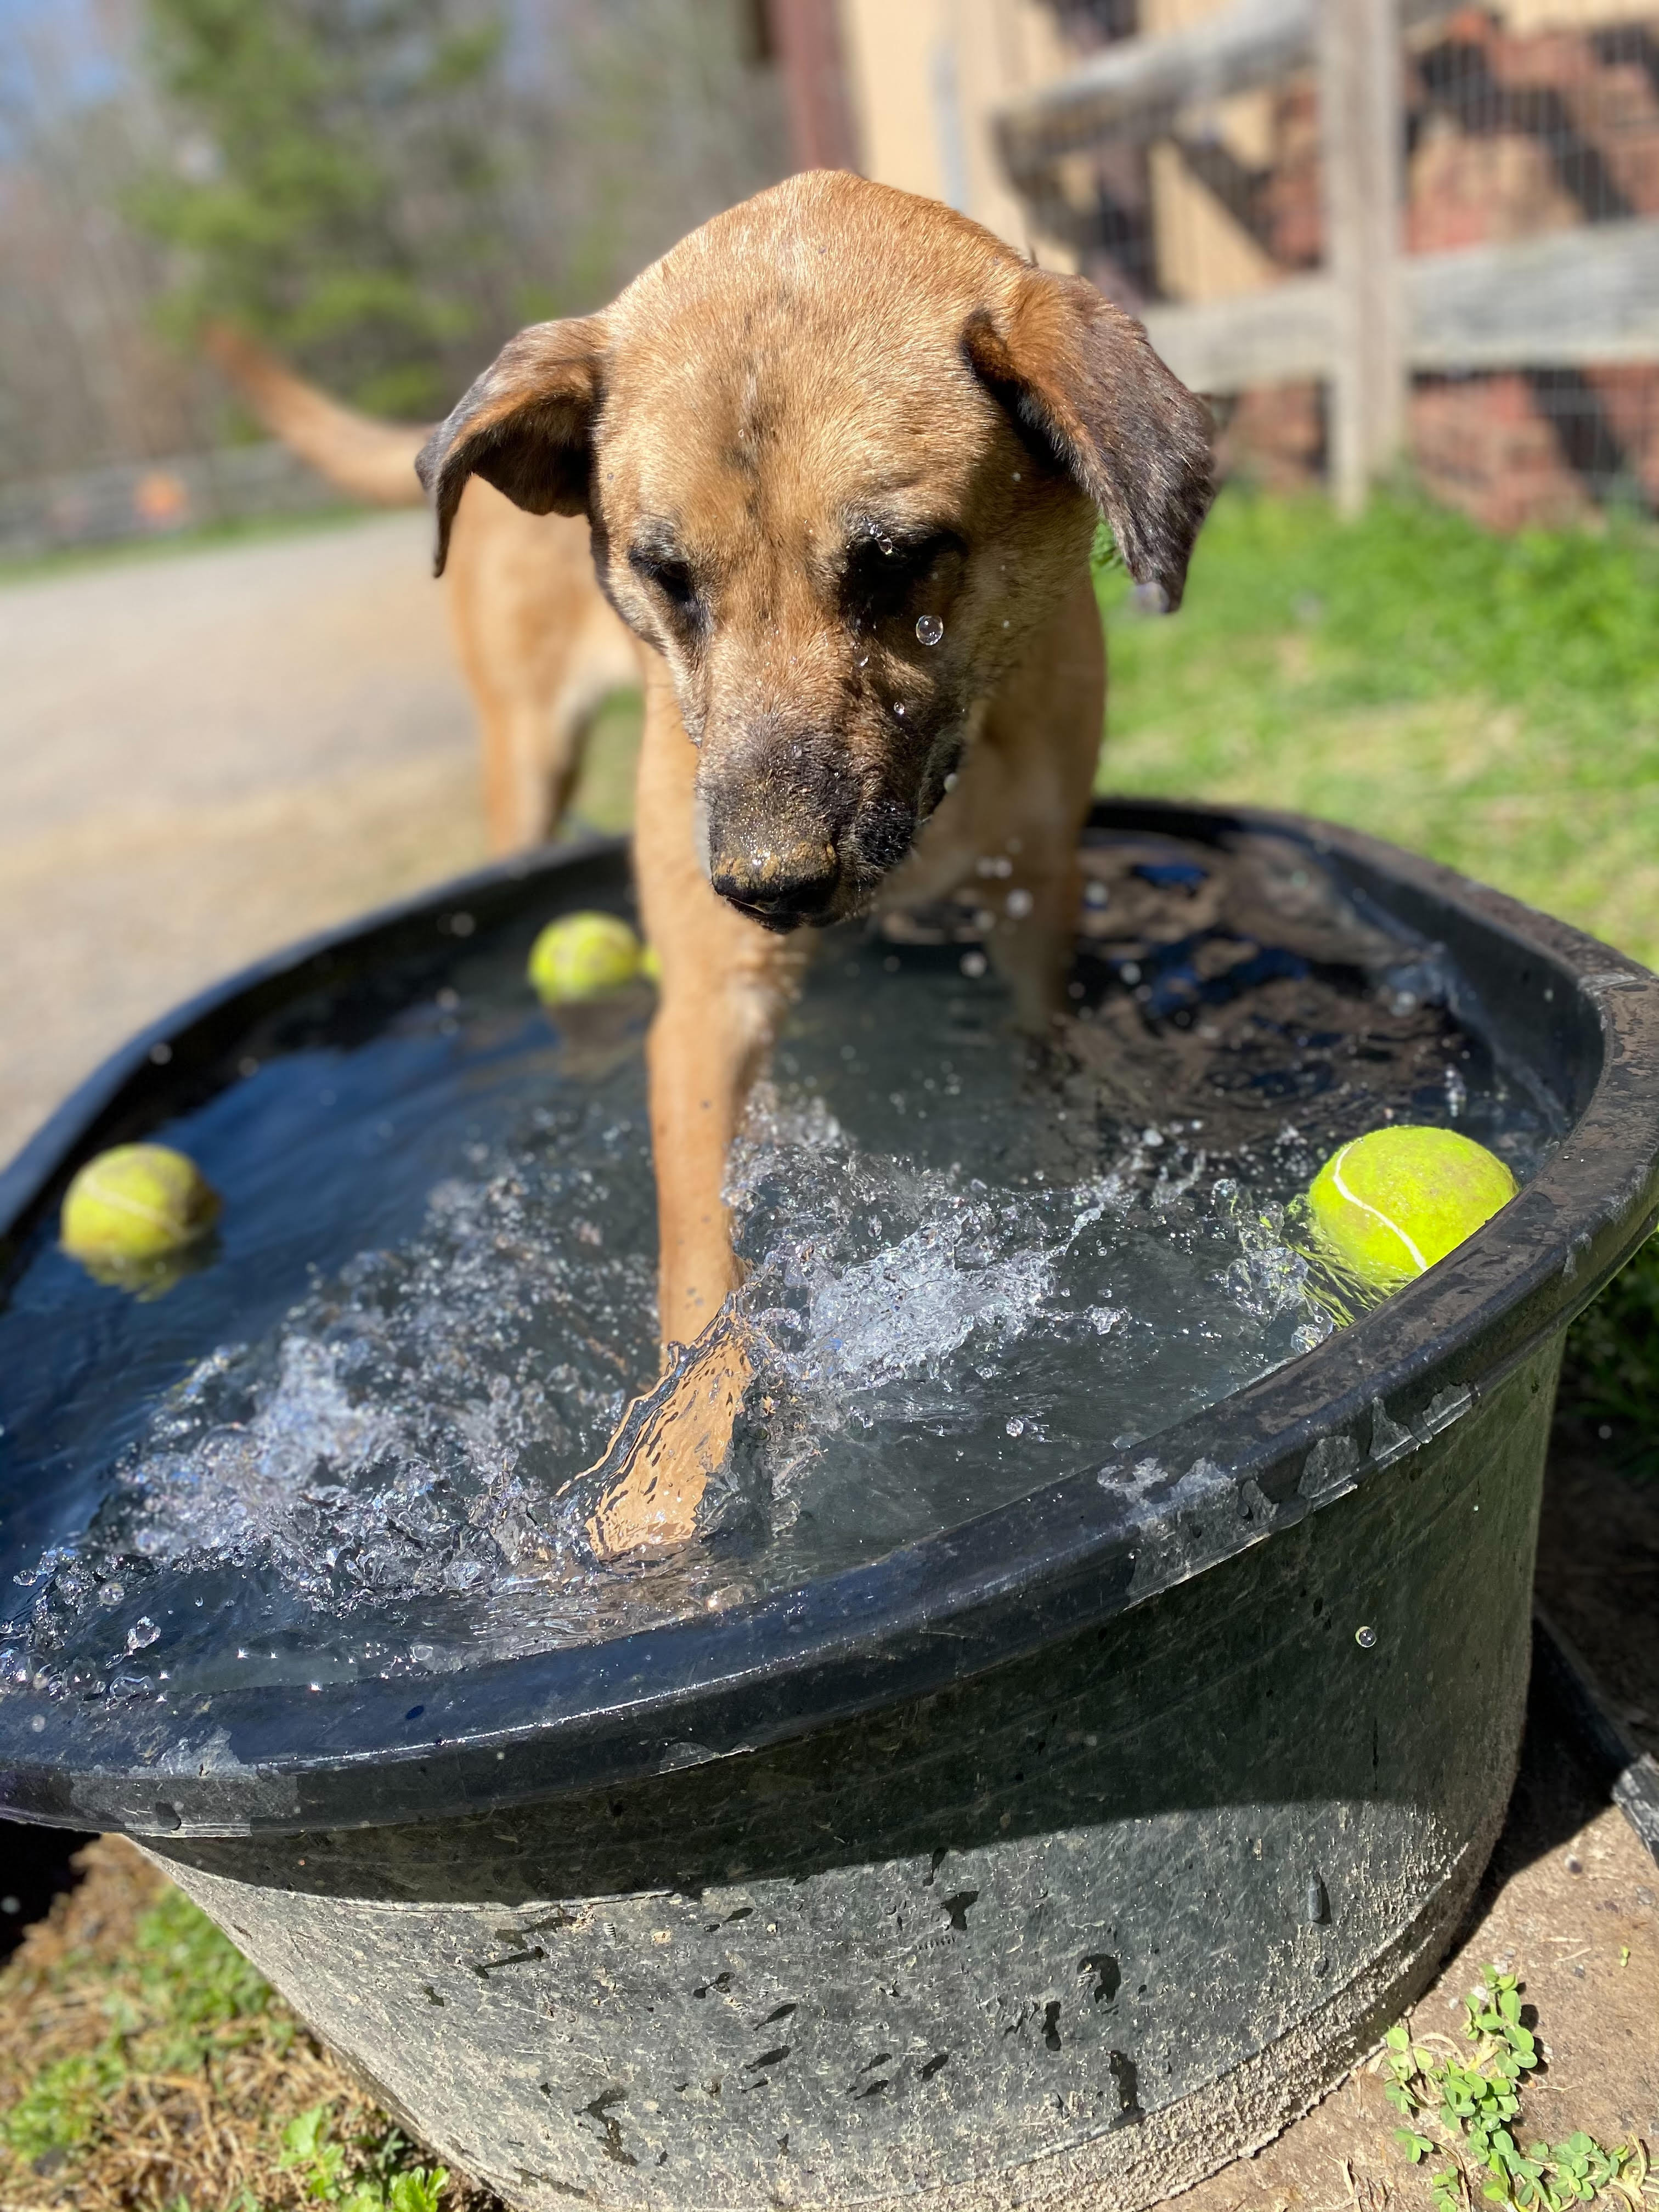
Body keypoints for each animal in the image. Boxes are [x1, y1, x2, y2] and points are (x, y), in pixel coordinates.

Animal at [413, 172, 1221, 1557]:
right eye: (663, 575)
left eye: (896, 562)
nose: (767, 885)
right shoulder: (705, 1007)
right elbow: (702, 1265)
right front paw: (668, 1470)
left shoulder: (1039, 899)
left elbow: (1037, 1066)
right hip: (530, 759)